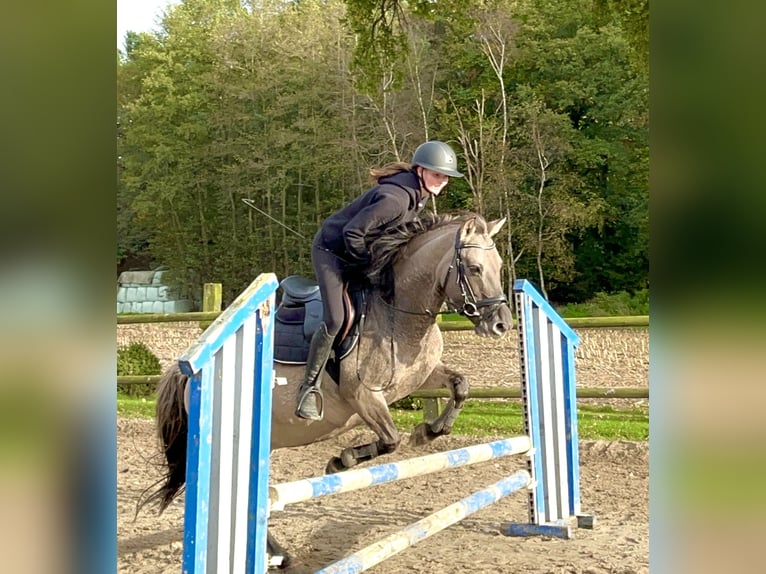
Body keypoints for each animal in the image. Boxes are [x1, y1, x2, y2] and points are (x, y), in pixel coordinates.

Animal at [144, 214, 516, 568]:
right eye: (474, 268)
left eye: (499, 266)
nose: (502, 324)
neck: (398, 314)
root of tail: (188, 372)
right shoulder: (364, 396)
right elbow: (390, 439)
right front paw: (342, 460)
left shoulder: (420, 379)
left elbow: (460, 386)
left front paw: (429, 432)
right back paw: (276, 552)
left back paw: (278, 554)